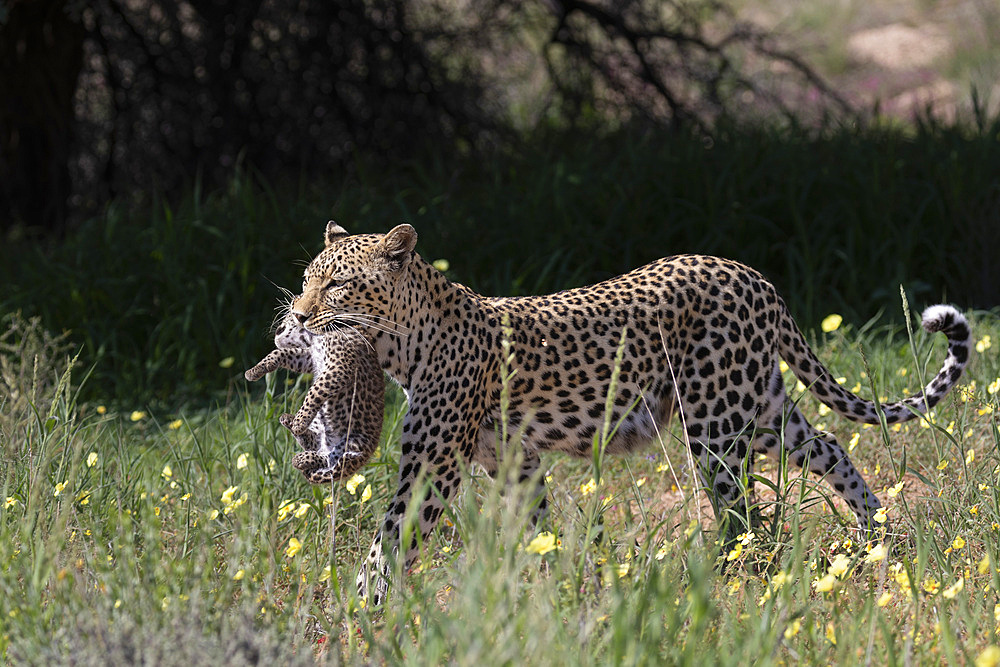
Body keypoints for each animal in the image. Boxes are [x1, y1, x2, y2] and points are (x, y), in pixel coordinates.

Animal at [290, 222, 968, 604]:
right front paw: (557, 586)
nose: (296, 315)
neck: (401, 345)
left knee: (743, 509)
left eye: (337, 285)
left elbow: (390, 536)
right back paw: (875, 534)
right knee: (830, 446)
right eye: (305, 279)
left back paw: (730, 579)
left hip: (717, 425)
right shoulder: (513, 458)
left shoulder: (433, 462)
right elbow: (536, 526)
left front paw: (363, 608)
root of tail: (755, 276)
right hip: (762, 409)